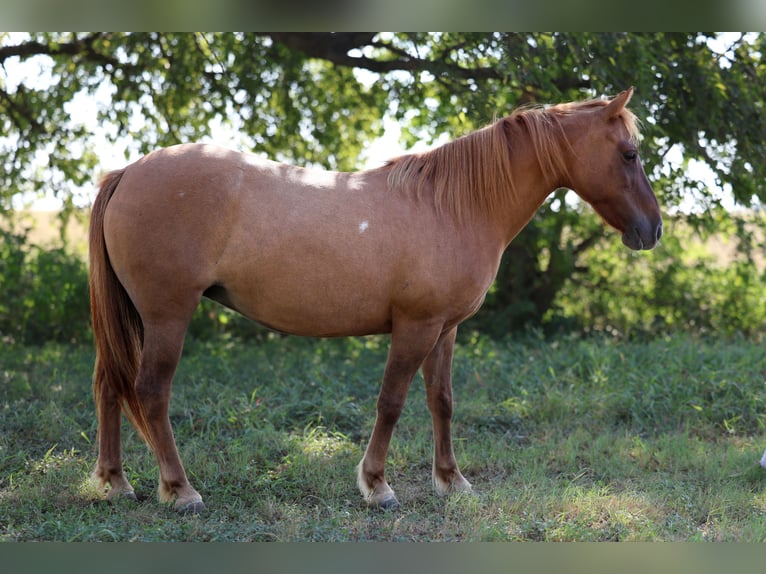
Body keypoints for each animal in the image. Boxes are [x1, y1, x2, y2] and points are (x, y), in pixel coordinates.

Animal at [89, 87, 662, 513]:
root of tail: (126, 172)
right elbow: (391, 402)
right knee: (150, 390)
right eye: (629, 154)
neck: (453, 206)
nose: (653, 230)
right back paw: (180, 490)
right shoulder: (415, 327)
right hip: (167, 315)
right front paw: (377, 484)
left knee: (111, 386)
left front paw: (451, 481)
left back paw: (116, 482)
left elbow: (441, 401)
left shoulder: (445, 329)